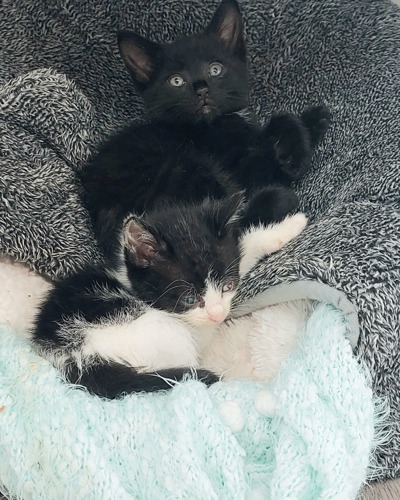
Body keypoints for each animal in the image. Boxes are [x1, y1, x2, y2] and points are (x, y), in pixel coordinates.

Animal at [79, 0, 332, 260]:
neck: (212, 124)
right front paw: (293, 155)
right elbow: (280, 122)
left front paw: (315, 118)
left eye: (215, 69)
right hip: (185, 166)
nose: (202, 89)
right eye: (176, 81)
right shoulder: (247, 171)